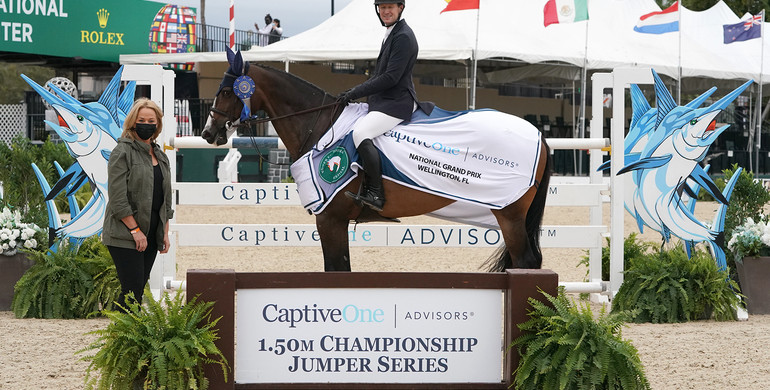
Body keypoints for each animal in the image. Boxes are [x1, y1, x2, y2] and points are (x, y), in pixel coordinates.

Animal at [202, 50, 552, 272]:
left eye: (226, 91)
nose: (208, 133)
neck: (319, 124)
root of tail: (538, 134)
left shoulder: (330, 218)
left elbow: (336, 270)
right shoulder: (335, 220)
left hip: (509, 216)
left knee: (526, 264)